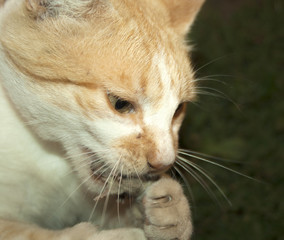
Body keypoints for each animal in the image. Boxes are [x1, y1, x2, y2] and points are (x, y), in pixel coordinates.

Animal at [0, 0, 204, 239]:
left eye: (179, 109)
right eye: (120, 103)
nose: (164, 161)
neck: (49, 154)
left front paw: (171, 210)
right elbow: (30, 232)